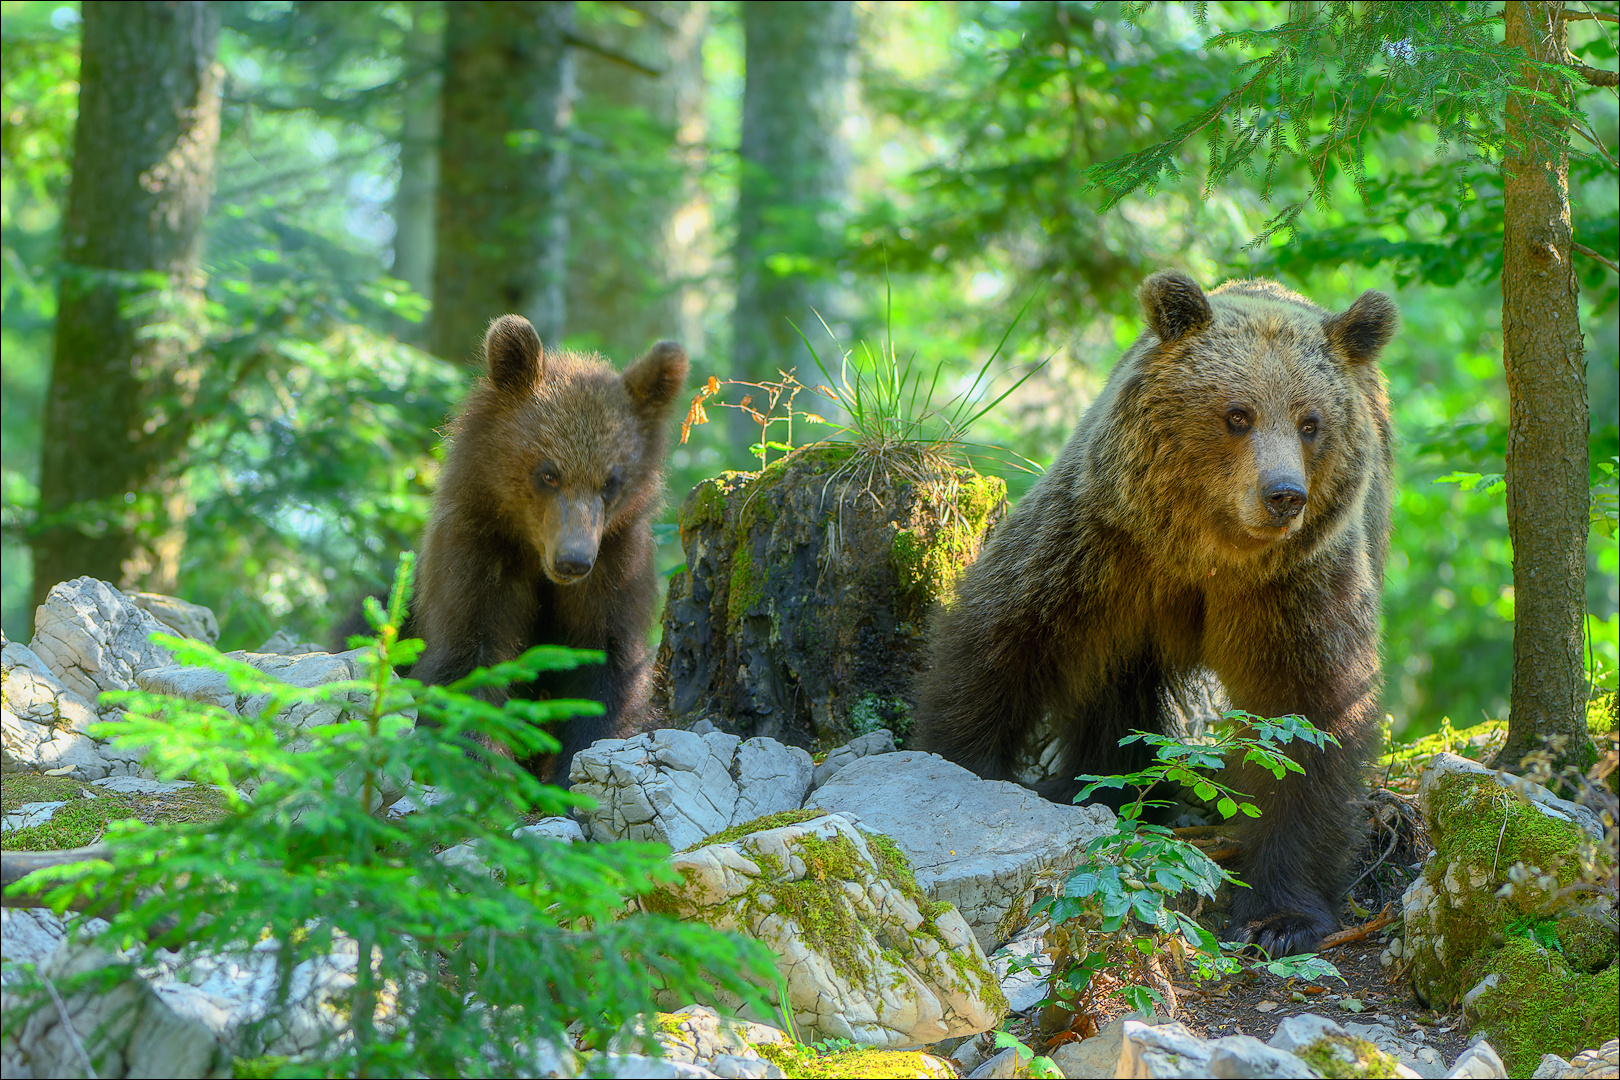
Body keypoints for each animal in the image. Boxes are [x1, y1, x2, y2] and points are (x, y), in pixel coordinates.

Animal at [411, 317, 690, 780]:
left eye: (610, 481)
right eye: (548, 473)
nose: (573, 560)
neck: (534, 556)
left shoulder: (613, 566)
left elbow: (604, 669)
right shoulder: (480, 551)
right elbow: (471, 655)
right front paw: (483, 762)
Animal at [920, 270, 1399, 952]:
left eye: (1311, 422)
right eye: (1237, 414)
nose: (1284, 494)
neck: (1211, 554)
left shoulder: (1296, 590)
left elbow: (1306, 724)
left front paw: (1280, 918)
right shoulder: (1102, 545)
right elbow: (1005, 640)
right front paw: (961, 764)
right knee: (1116, 692)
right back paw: (1094, 785)